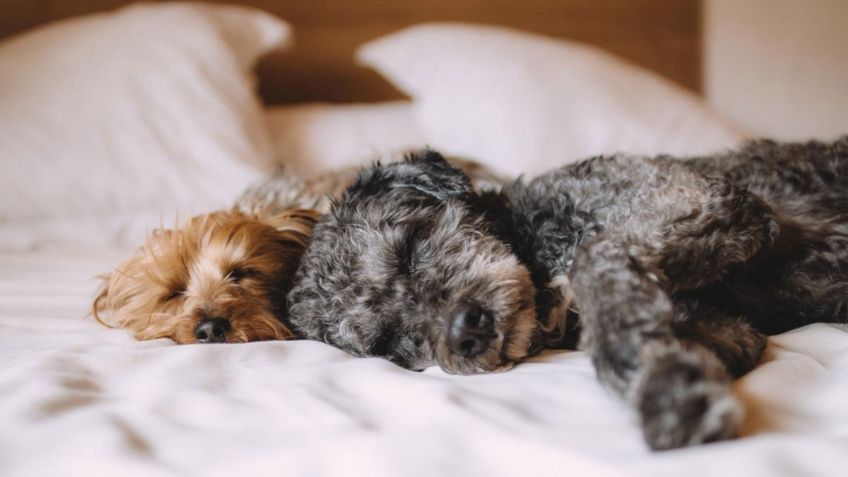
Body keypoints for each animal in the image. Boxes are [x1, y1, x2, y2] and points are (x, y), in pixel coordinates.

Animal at [284, 136, 848, 448]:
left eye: (410, 246)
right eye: (390, 344)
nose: (466, 332)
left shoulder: (709, 199)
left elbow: (592, 257)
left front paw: (667, 394)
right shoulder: (732, 328)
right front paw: (663, 367)